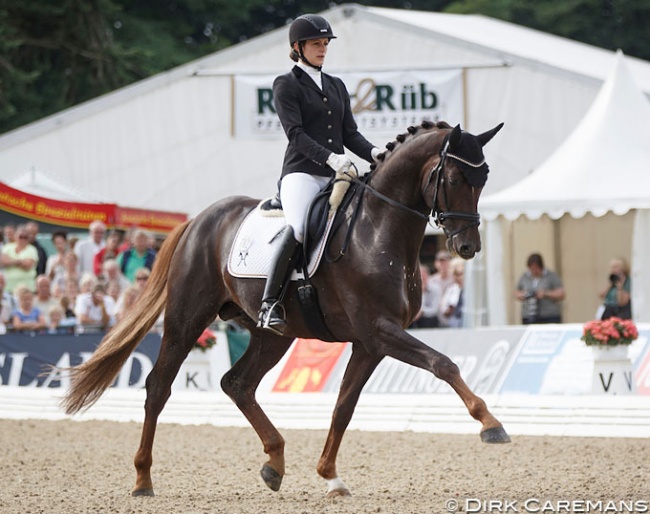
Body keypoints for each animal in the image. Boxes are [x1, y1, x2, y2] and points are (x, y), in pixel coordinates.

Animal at [60, 119, 508, 496]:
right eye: (453, 177)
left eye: (484, 178)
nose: (468, 247)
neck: (379, 229)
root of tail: (198, 221)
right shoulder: (379, 329)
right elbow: (443, 363)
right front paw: (491, 424)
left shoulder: (370, 343)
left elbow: (344, 406)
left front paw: (331, 476)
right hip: (187, 319)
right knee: (158, 387)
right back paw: (142, 479)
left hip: (273, 333)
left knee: (237, 384)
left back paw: (274, 462)